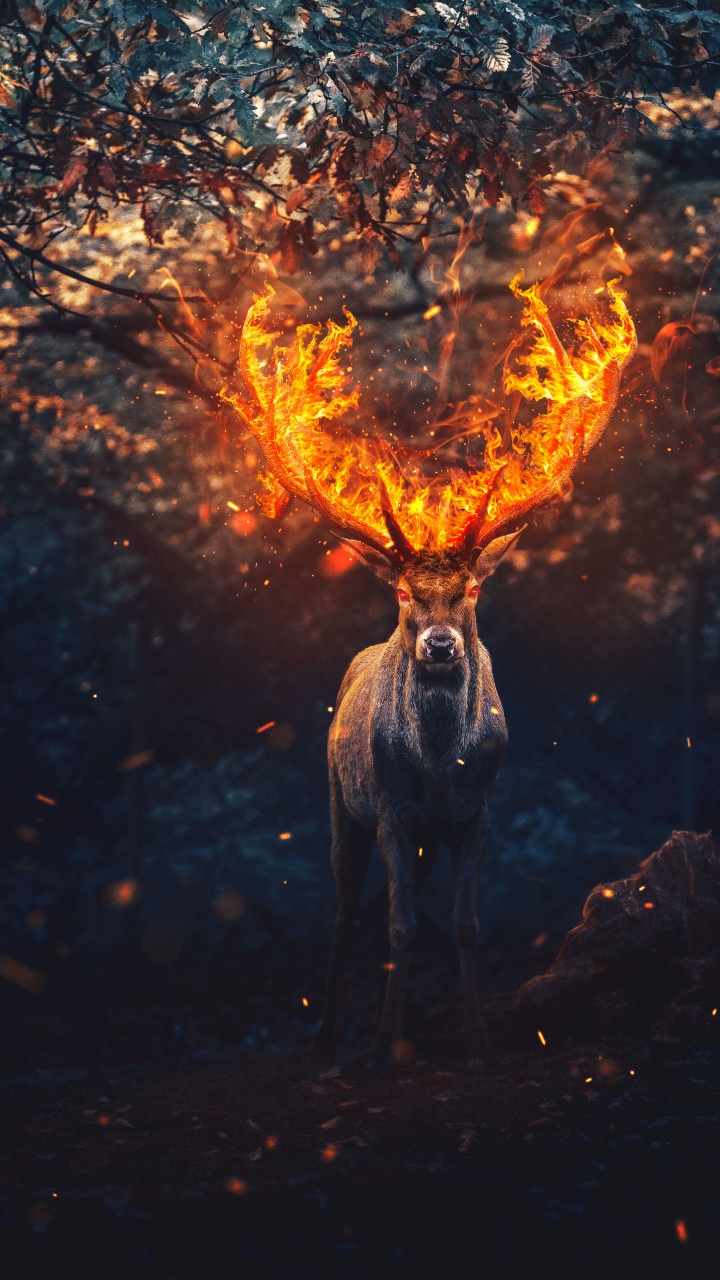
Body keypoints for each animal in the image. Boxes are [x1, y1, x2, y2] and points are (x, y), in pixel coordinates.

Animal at [222, 263, 636, 1067]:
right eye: (405, 592)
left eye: (471, 588)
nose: (439, 645)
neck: (443, 761)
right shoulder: (391, 808)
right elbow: (400, 926)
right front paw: (385, 1045)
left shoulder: (479, 812)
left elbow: (465, 925)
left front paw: (478, 1038)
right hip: (339, 803)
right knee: (349, 914)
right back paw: (328, 1040)